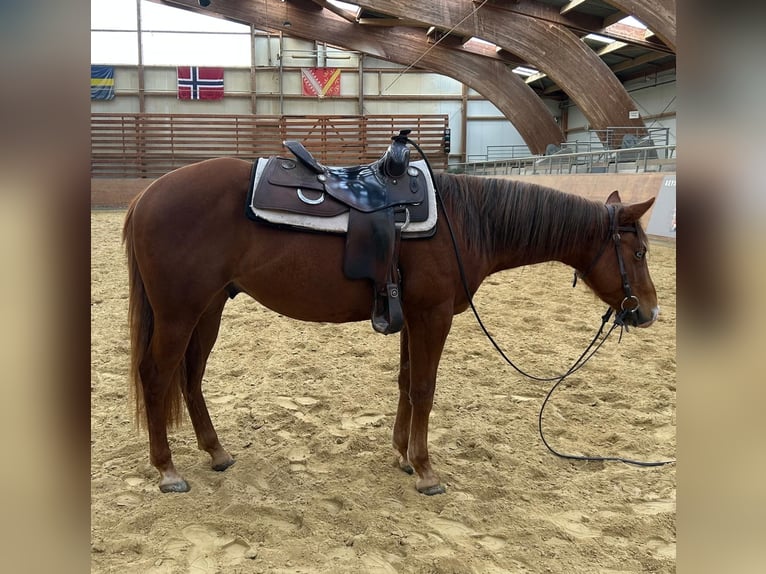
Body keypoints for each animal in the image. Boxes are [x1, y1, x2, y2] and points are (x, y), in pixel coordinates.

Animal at [122, 156, 658, 495]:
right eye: (639, 253)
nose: (648, 311)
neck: (465, 221)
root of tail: (146, 195)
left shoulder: (414, 316)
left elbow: (405, 382)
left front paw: (402, 454)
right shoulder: (433, 316)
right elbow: (424, 387)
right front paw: (425, 469)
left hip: (207, 309)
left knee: (190, 378)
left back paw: (216, 452)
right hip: (178, 313)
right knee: (157, 377)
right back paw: (167, 470)